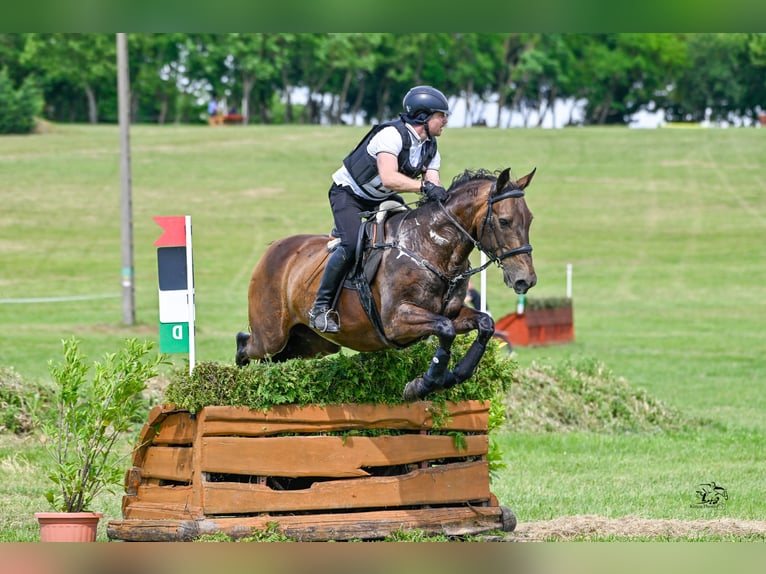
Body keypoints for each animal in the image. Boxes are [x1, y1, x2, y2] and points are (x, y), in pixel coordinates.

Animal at [236, 165, 540, 400]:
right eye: (504, 221)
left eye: (530, 219)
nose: (525, 280)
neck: (429, 246)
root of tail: (273, 250)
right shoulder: (397, 321)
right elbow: (445, 330)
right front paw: (422, 385)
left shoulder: (453, 312)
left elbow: (484, 324)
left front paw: (452, 377)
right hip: (272, 335)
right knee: (246, 345)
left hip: (312, 344)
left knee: (275, 359)